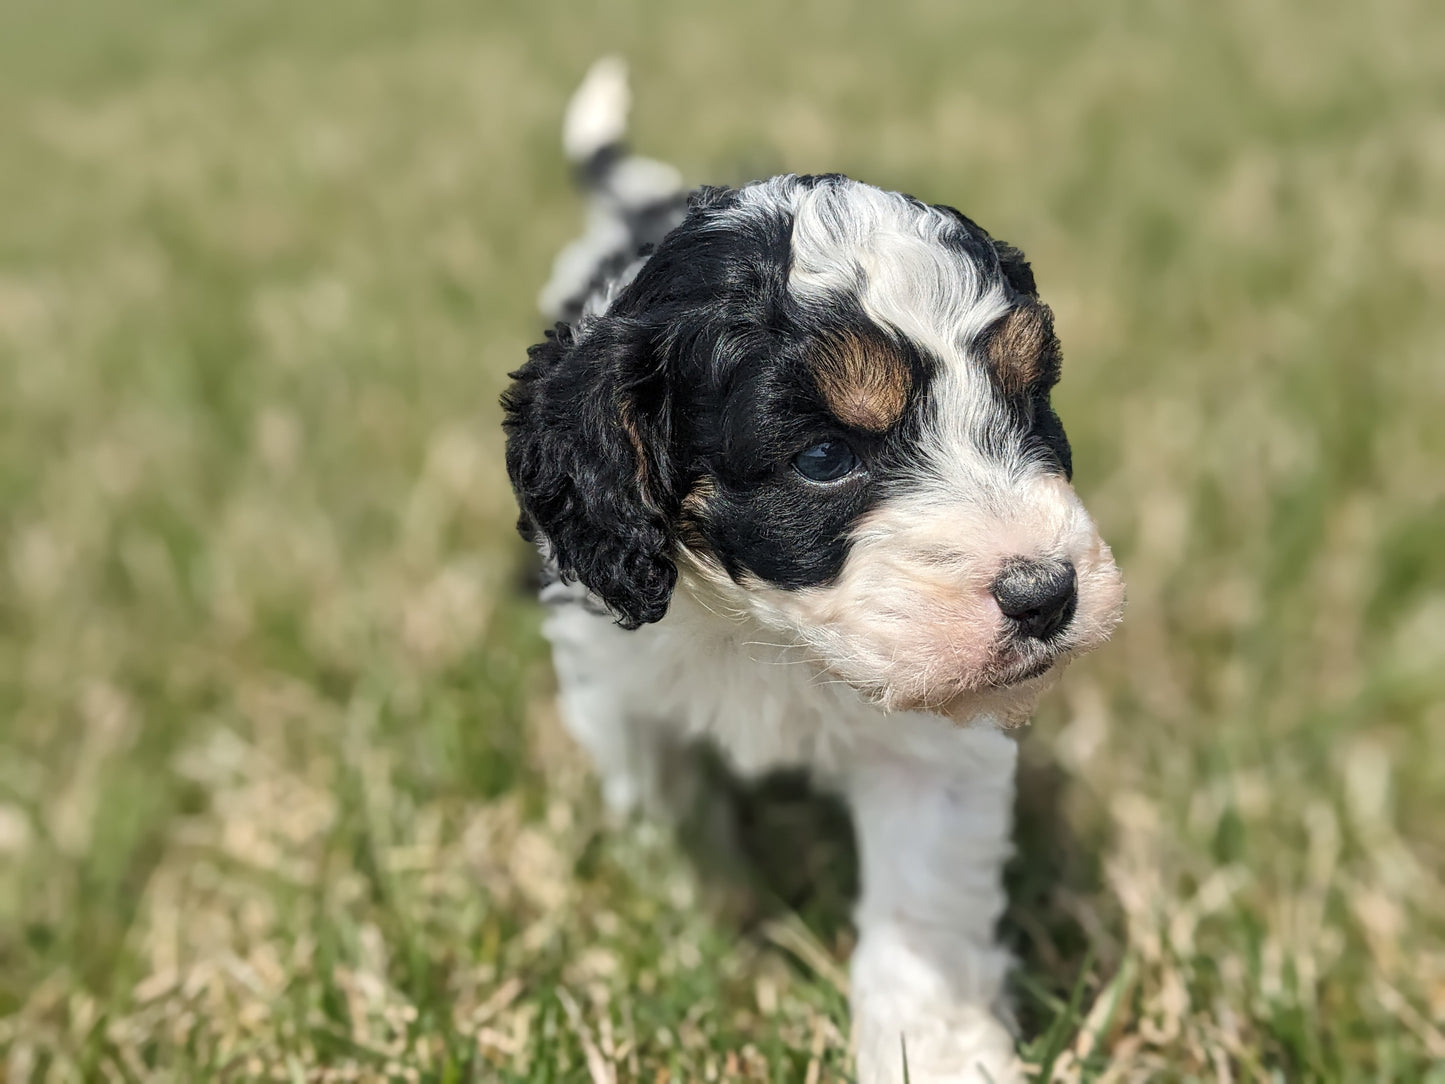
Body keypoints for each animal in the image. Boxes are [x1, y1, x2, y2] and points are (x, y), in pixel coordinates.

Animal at [502, 61, 1121, 1084]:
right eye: (824, 458)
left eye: (1027, 402)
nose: (1047, 596)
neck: (768, 633)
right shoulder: (619, 689)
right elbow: (674, 818)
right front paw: (710, 934)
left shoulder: (936, 752)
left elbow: (920, 911)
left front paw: (936, 1051)